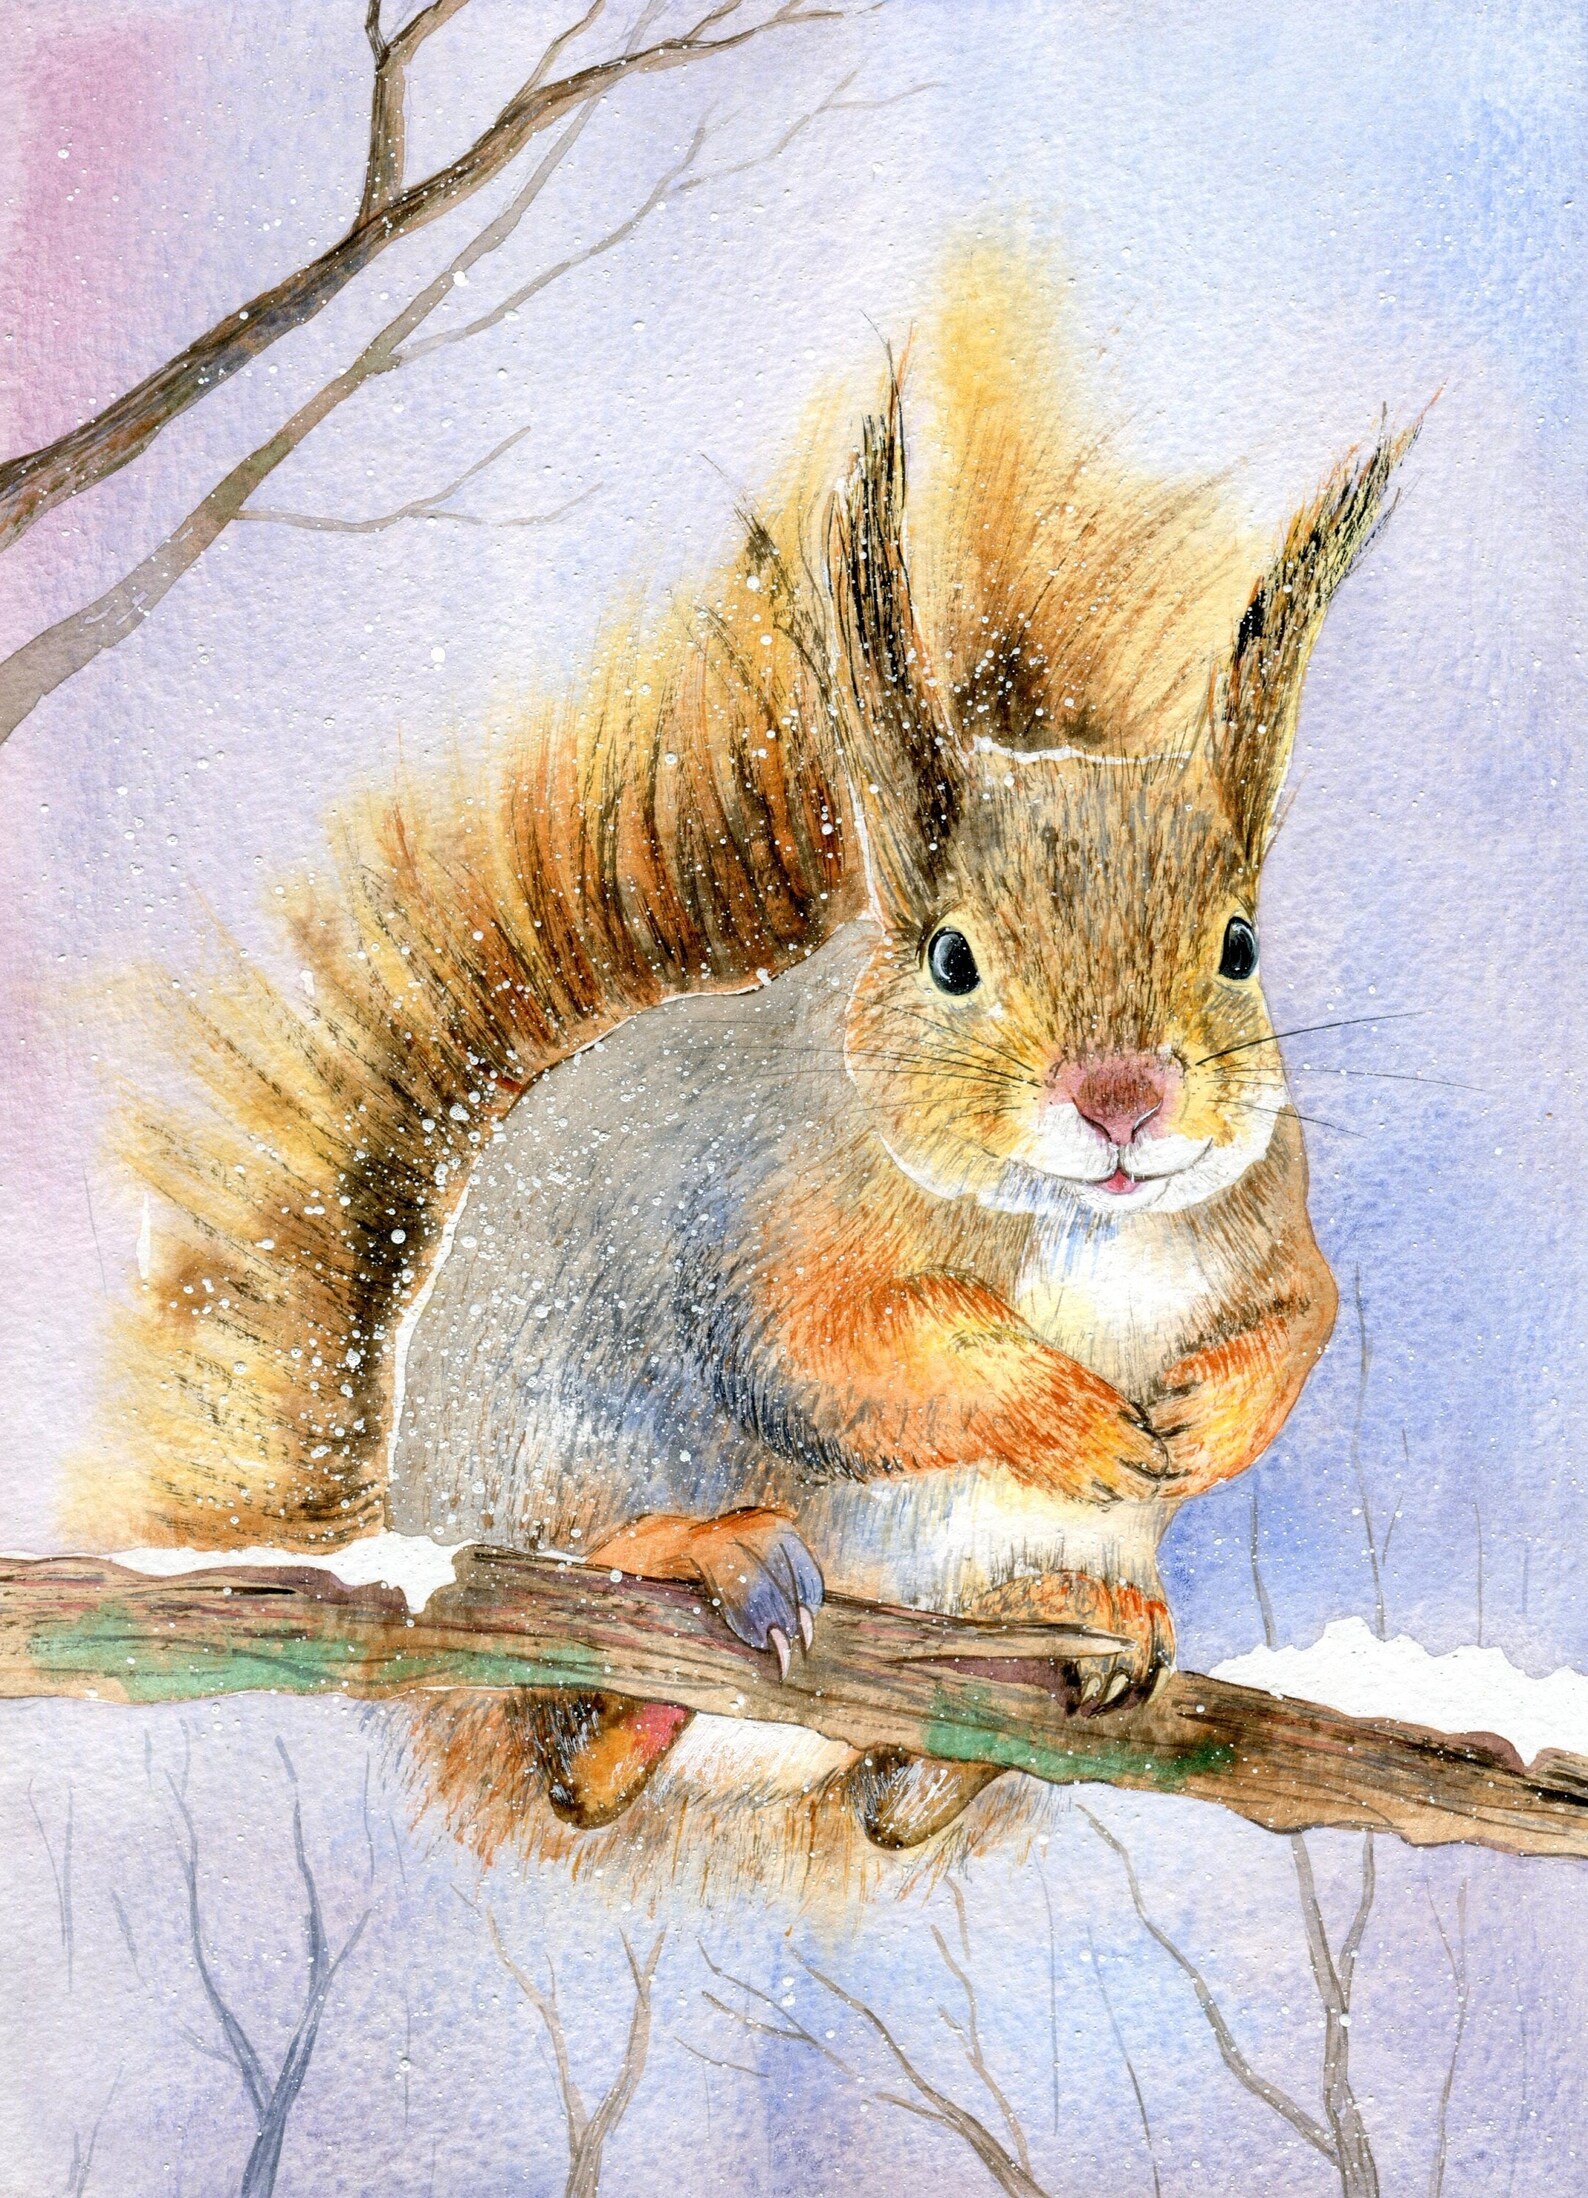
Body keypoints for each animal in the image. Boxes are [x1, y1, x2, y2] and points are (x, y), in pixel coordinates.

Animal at [87, 262, 1412, 1893]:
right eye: (951, 958)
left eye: (1238, 944)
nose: (1122, 1098)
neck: (1079, 1219)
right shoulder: (765, 1223)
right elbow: (834, 1350)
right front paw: (1073, 1412)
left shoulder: (1267, 1214)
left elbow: (1305, 1315)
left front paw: (1208, 1417)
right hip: (558, 1445)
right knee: (583, 1712)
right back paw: (710, 1565)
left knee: (879, 1791)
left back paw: (1075, 1635)